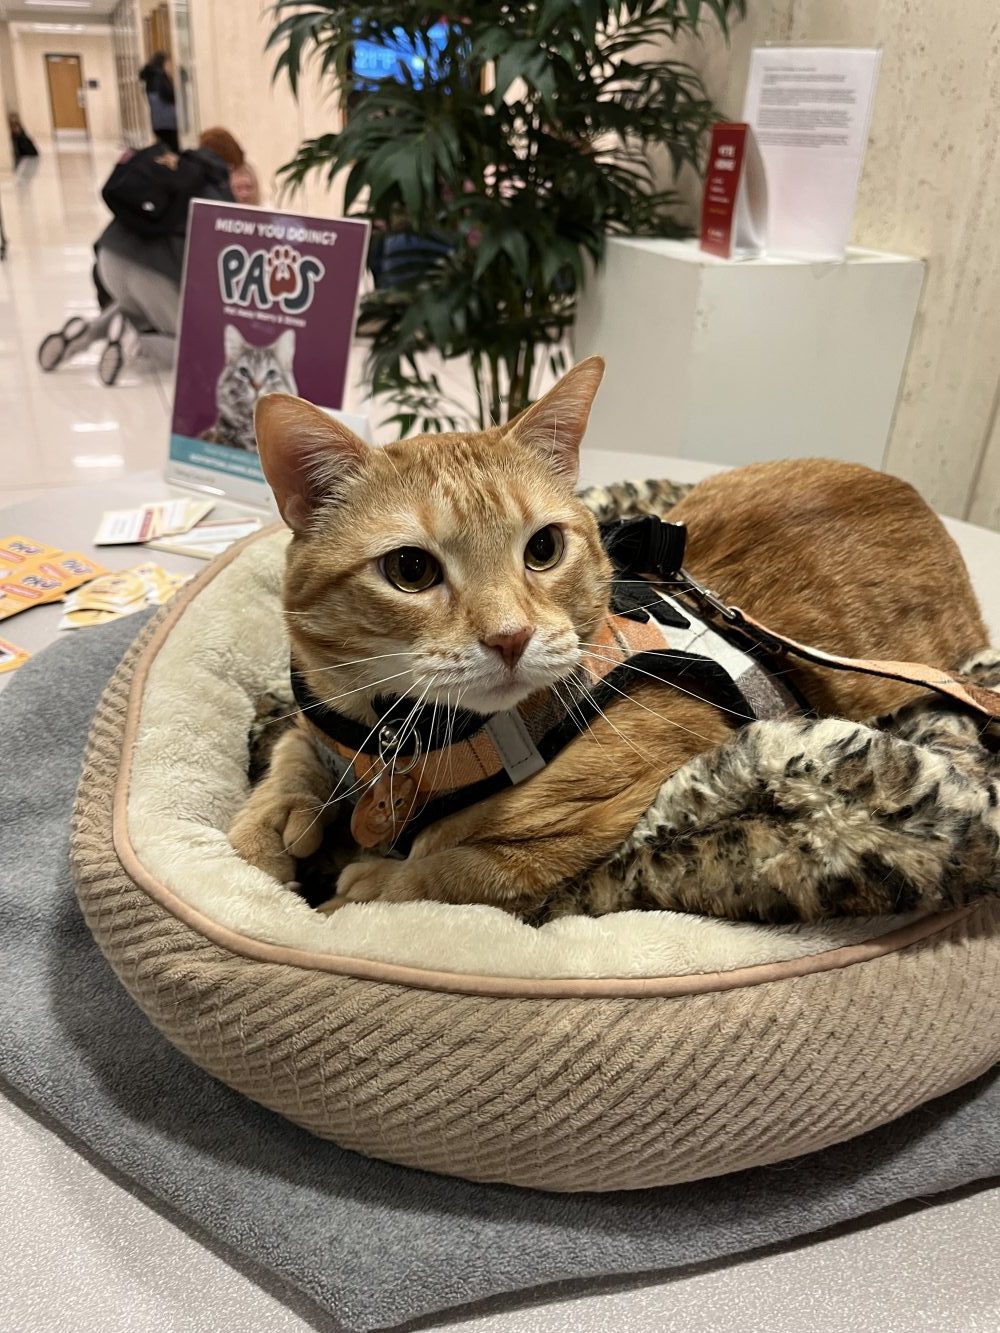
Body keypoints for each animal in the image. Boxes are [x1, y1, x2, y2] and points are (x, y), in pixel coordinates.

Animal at [230, 357, 992, 917]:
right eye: (410, 570)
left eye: (543, 549)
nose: (511, 636)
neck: (400, 739)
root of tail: (915, 496)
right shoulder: (324, 718)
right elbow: (292, 752)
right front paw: (267, 825)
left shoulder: (616, 806)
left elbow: (467, 867)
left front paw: (366, 887)